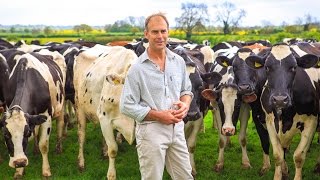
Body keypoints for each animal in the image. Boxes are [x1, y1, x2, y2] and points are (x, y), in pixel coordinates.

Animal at [0, 48, 65, 178]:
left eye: (26, 133)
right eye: (5, 134)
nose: (19, 162)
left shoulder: (46, 115)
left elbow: (43, 144)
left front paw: (46, 171)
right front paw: (19, 171)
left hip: (61, 104)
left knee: (60, 124)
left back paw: (58, 148)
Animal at [74, 44, 136, 179]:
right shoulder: (105, 119)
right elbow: (113, 149)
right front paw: (111, 175)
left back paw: (103, 151)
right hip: (79, 105)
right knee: (81, 135)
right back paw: (81, 162)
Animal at [246, 43, 318, 179]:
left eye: (294, 67)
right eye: (267, 68)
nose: (280, 100)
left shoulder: (312, 121)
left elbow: (299, 156)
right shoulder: (269, 121)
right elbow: (278, 155)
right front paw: (279, 175)